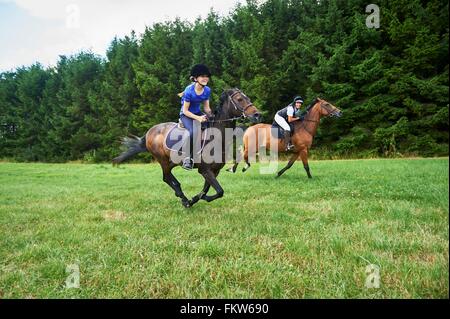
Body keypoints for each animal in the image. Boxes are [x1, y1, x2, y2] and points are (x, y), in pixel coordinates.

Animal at [111, 88, 260, 208]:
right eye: (240, 99)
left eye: (248, 98)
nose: (257, 115)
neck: (217, 138)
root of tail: (150, 132)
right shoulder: (204, 170)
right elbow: (219, 191)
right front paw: (193, 199)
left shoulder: (215, 170)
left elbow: (209, 190)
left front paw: (196, 198)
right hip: (162, 160)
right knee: (166, 178)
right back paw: (182, 197)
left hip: (172, 161)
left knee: (168, 177)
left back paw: (183, 197)